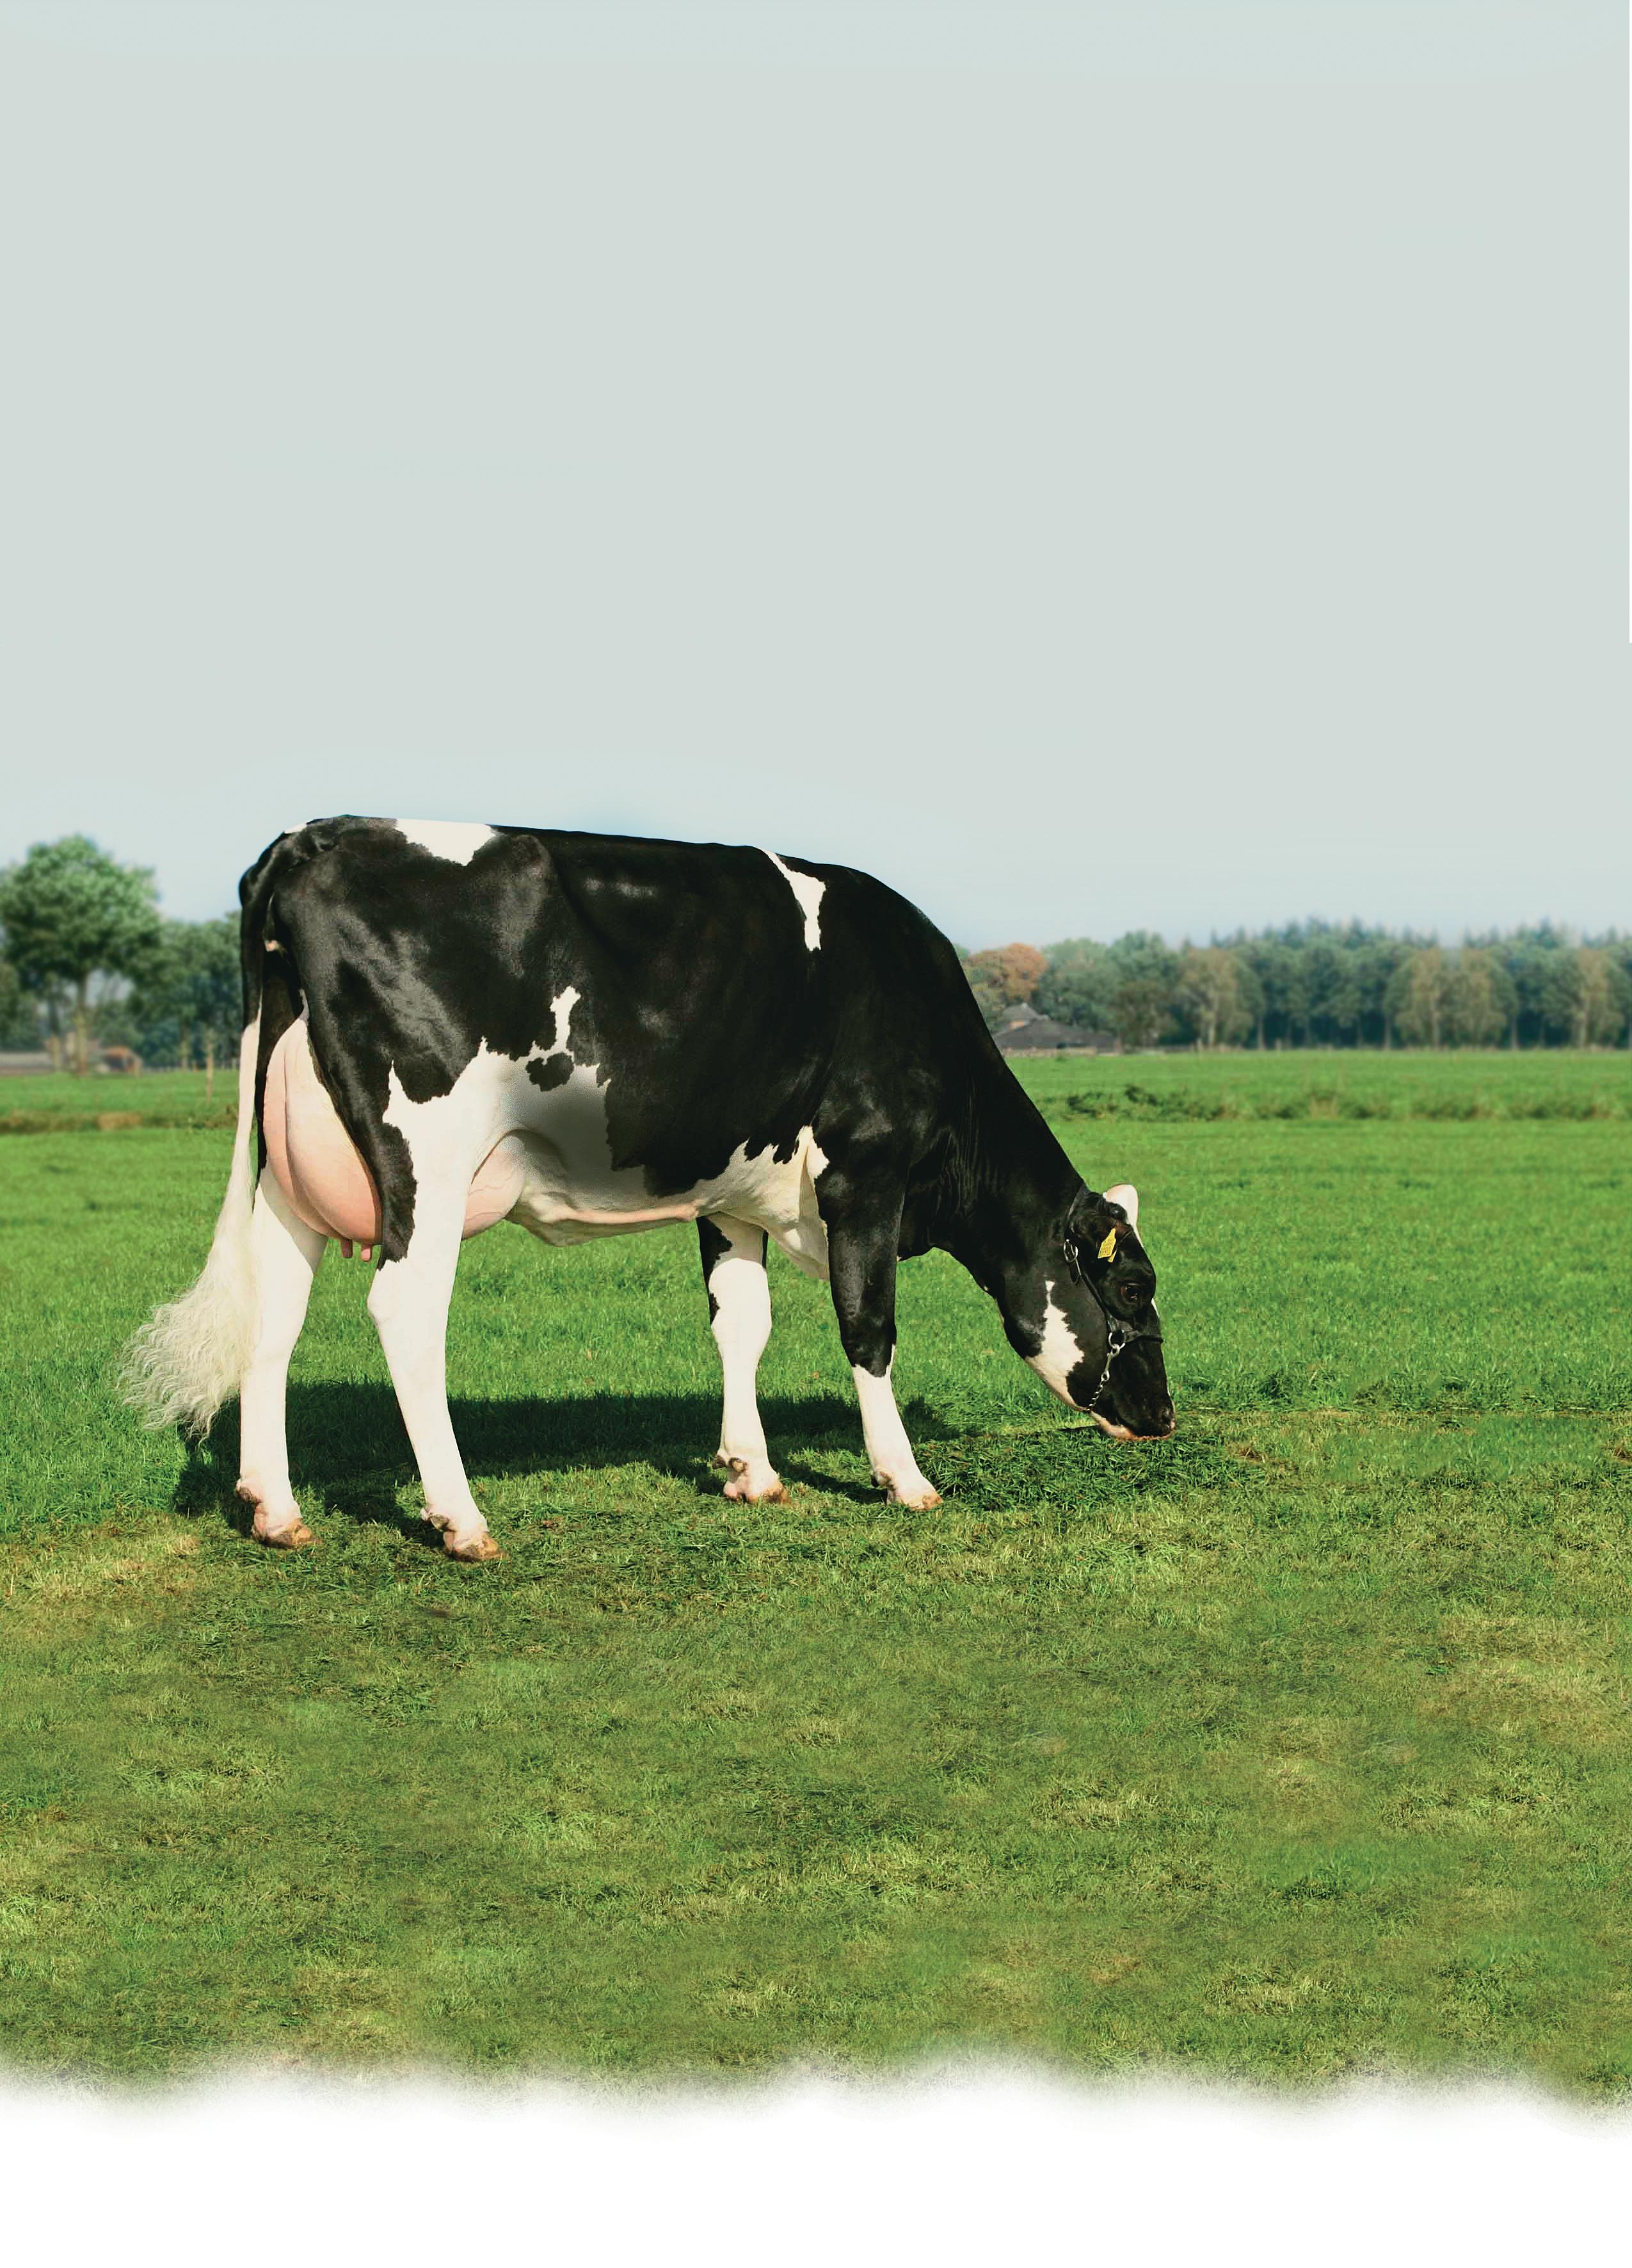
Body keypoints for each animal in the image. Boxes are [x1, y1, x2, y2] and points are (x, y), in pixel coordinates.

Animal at [124, 818, 1173, 1560]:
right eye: (1131, 1286)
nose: (1163, 1415)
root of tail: (319, 835)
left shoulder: (732, 1194)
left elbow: (740, 1324)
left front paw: (750, 1470)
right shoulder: (864, 1177)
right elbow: (868, 1327)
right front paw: (903, 1478)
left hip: (293, 1173)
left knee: (274, 1314)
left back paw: (274, 1509)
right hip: (426, 1154)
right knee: (407, 1311)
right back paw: (461, 1519)